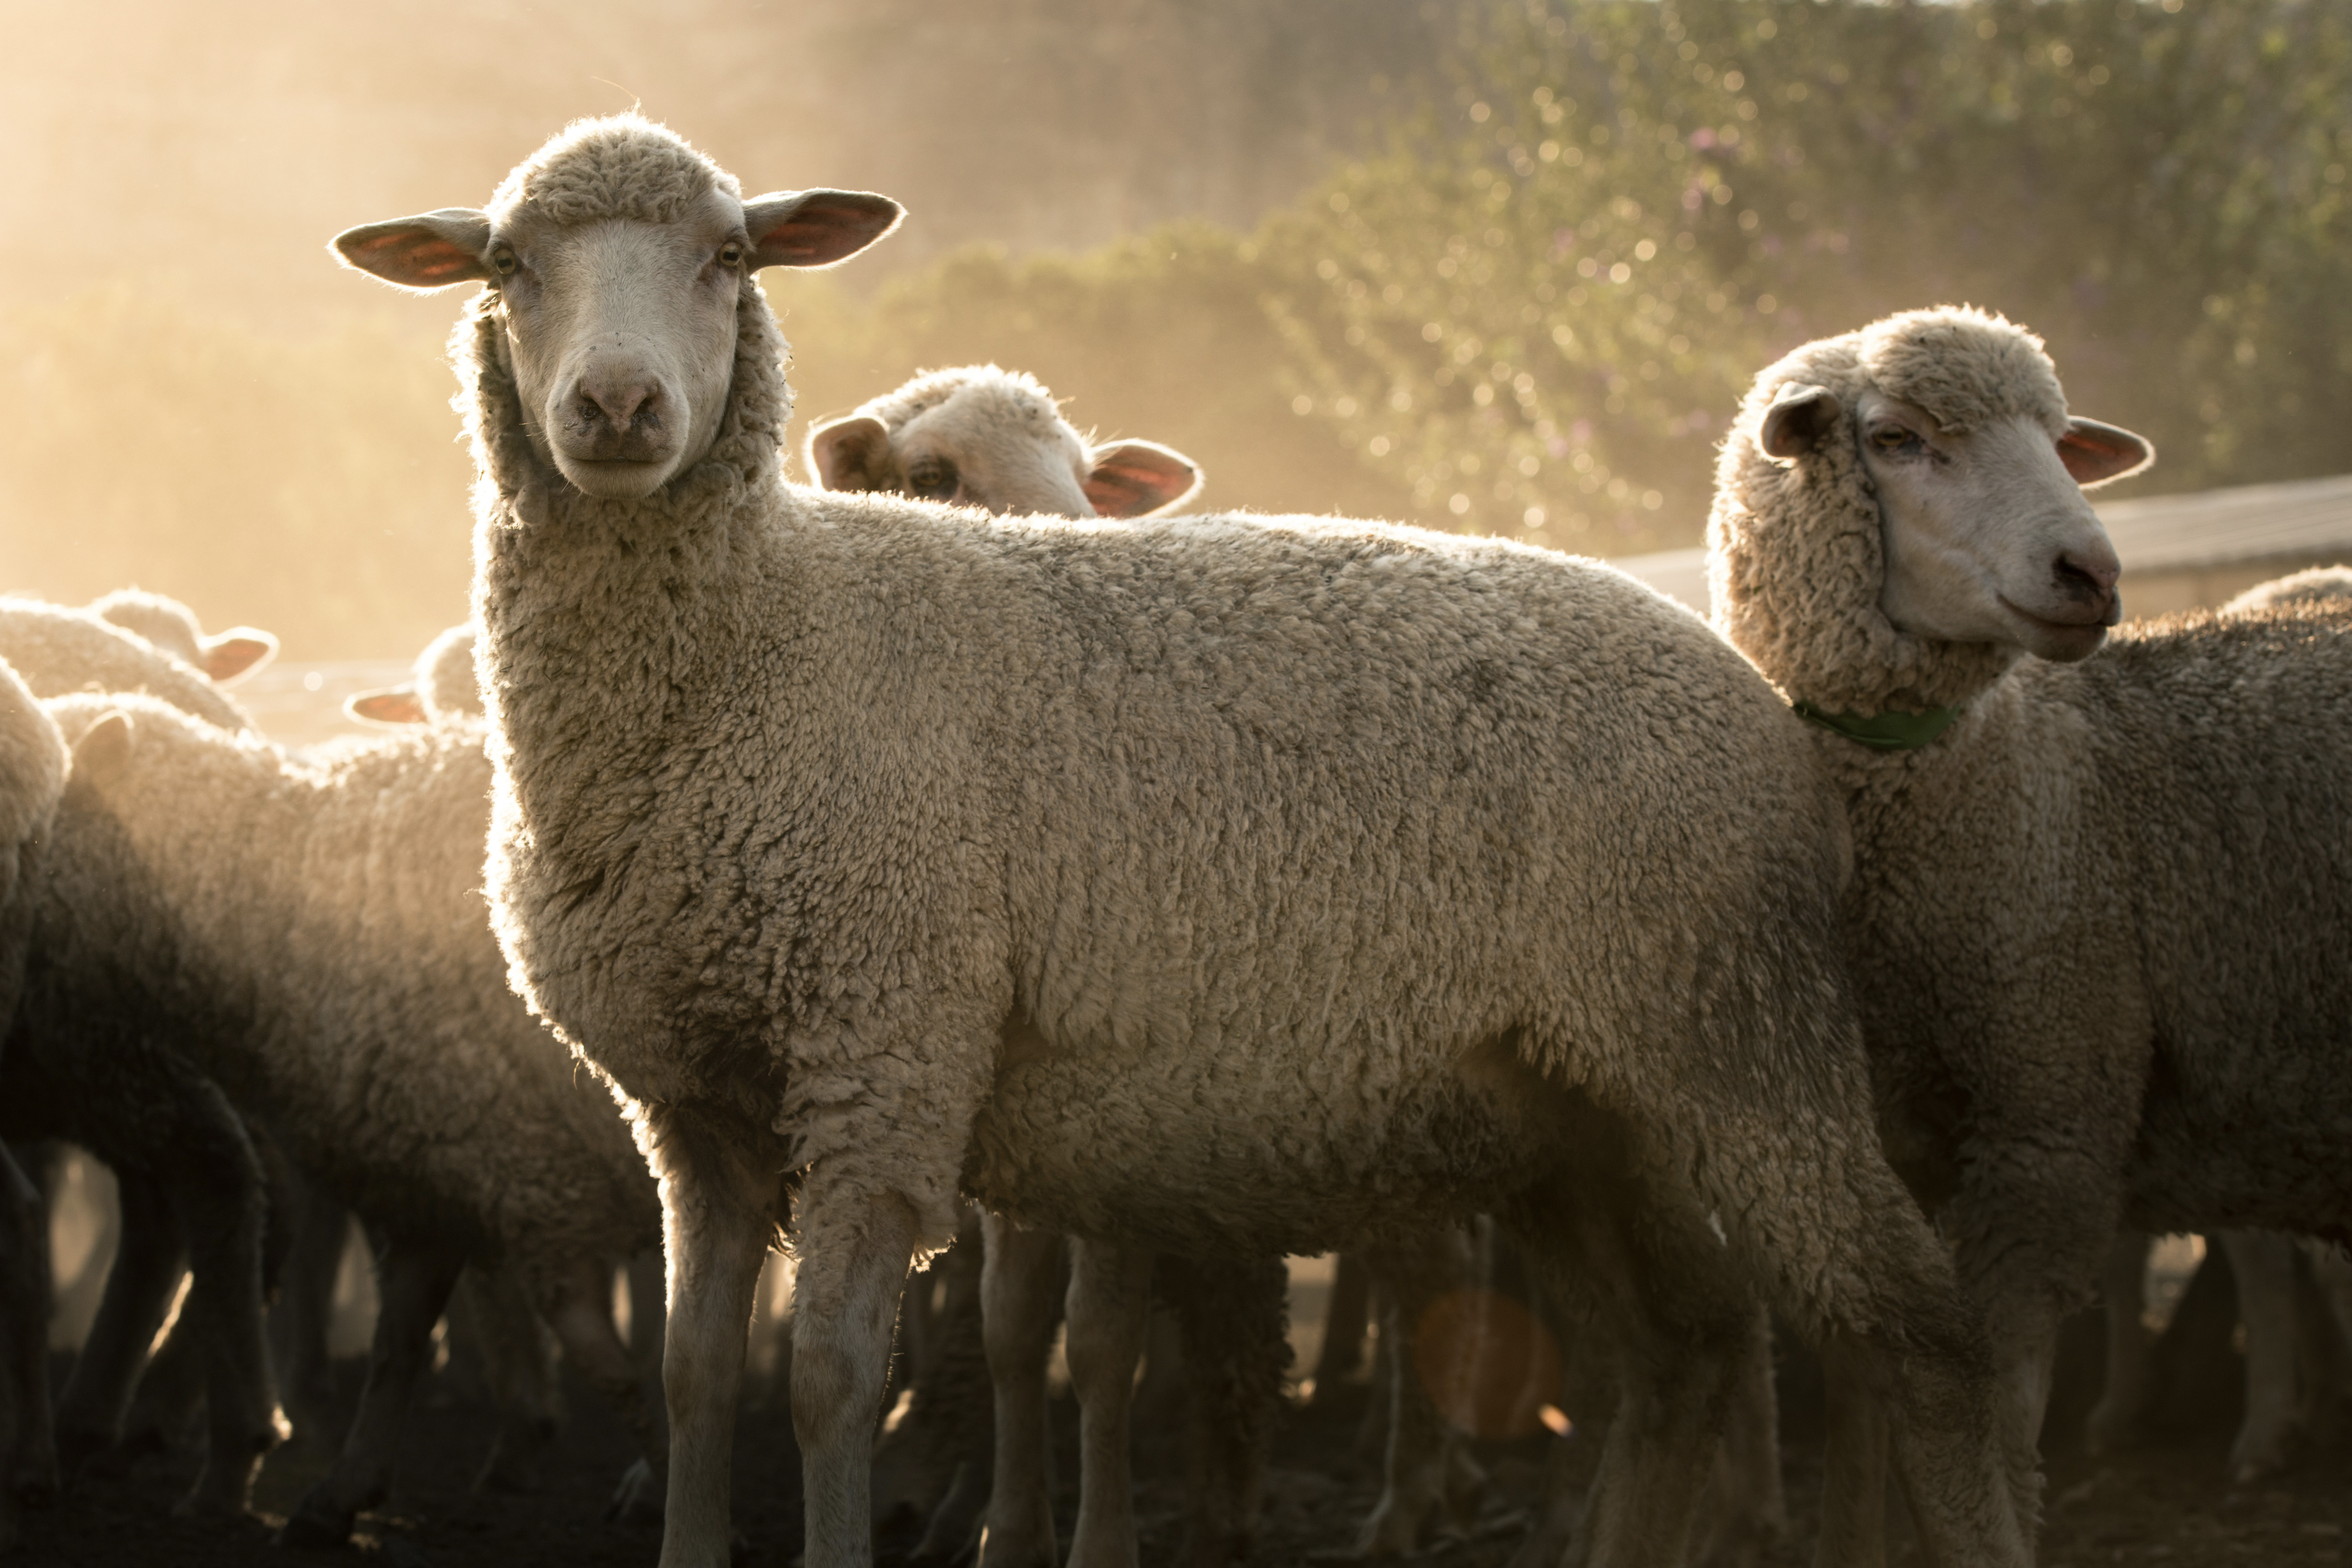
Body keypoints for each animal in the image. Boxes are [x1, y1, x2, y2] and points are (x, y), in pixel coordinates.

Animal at [24, 690, 668, 1547]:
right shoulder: (437, 1158)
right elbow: (398, 1342)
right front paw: (341, 1492)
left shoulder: (540, 1186)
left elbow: (615, 1371)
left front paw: (674, 1489)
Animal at [331, 113, 2029, 1568]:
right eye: (506, 264)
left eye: (730, 256)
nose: (619, 410)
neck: (765, 645)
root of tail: (1760, 702)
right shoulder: (688, 1101)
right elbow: (695, 1376)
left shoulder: (884, 1052)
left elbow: (825, 1379)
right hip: (1577, 1105)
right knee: (1680, 1349)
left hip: (1736, 1040)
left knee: (1915, 1338)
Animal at [1703, 304, 2352, 1553]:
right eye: (1897, 439)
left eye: (2059, 443)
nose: (2091, 572)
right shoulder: (1884, 1149)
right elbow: (1870, 1413)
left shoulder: (2039, 1135)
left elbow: (1985, 1438)